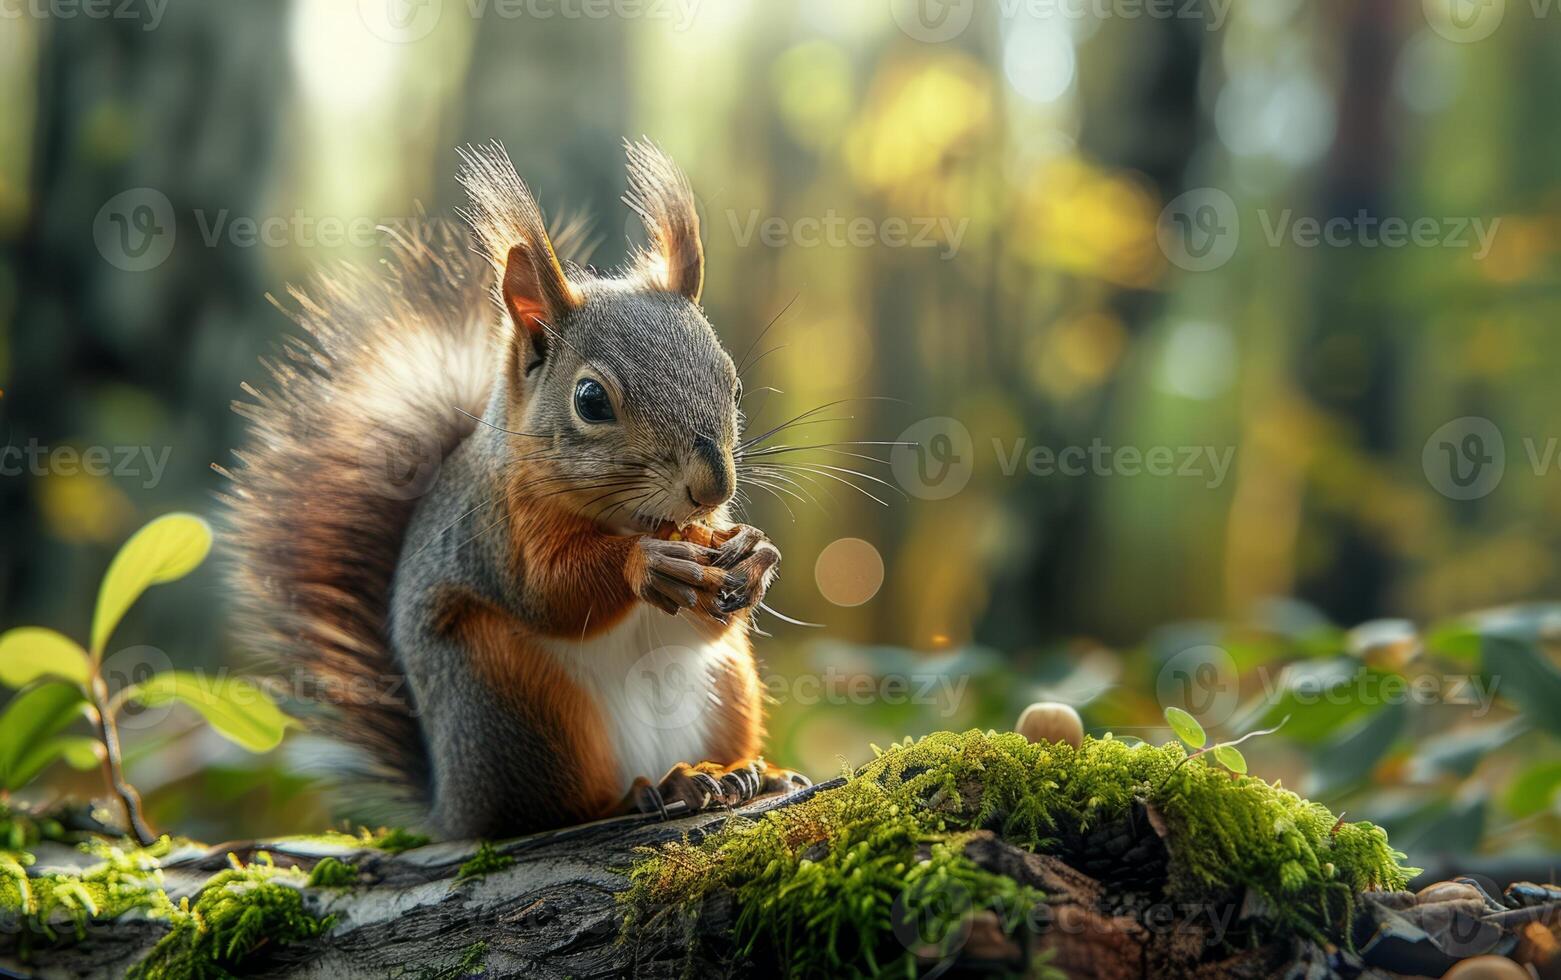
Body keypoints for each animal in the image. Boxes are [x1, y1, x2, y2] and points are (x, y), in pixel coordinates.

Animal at [226, 139, 811, 842]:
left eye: (733, 384)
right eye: (591, 400)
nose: (711, 485)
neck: (633, 518)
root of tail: (453, 802)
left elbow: (711, 617)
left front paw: (754, 554)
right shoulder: (500, 529)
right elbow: (550, 592)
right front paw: (645, 564)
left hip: (729, 688)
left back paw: (745, 772)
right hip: (513, 701)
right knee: (551, 809)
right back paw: (653, 790)